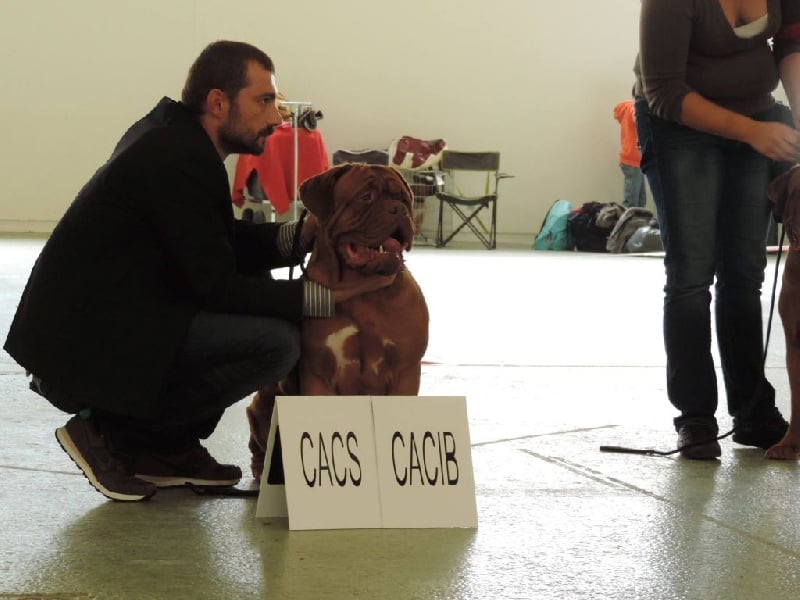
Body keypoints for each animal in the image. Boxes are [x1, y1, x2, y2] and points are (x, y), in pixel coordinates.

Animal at [246, 164, 430, 480]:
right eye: (365, 197)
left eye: (403, 199)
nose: (398, 210)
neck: (362, 292)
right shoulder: (318, 374)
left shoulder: (406, 371)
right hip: (265, 399)